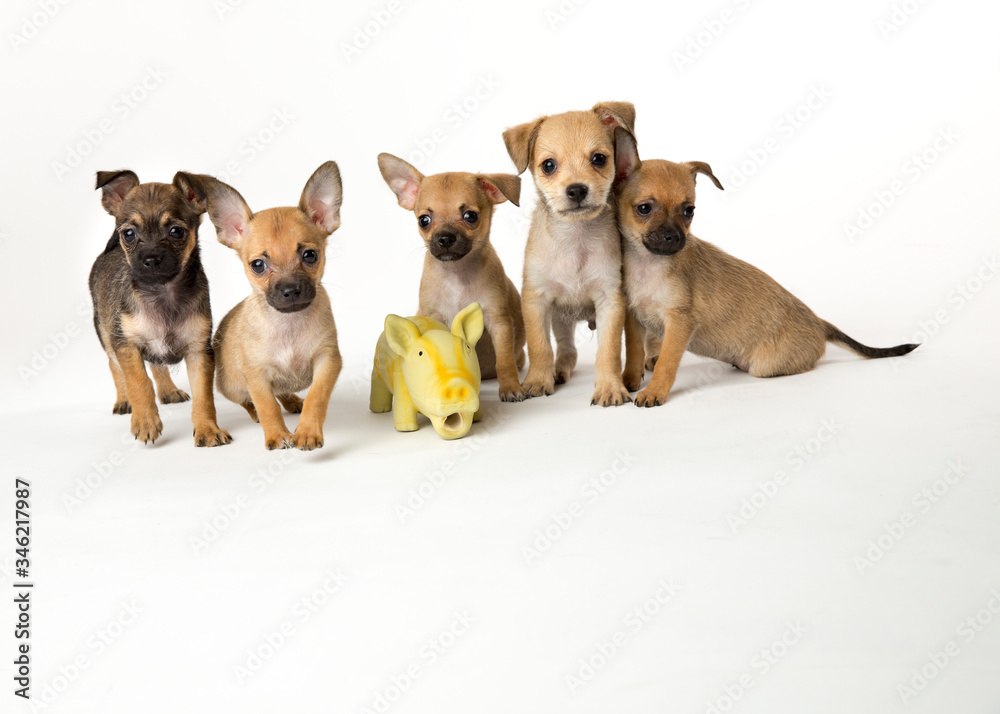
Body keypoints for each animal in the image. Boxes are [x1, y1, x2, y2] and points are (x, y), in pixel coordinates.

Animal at [89, 168, 231, 444]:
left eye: (176, 232)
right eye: (129, 234)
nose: (151, 258)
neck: (163, 293)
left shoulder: (199, 351)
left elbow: (204, 395)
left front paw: (207, 429)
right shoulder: (127, 346)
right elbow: (138, 382)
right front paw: (145, 422)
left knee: (157, 363)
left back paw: (168, 391)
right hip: (106, 334)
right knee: (115, 367)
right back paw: (124, 401)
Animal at [189, 164, 346, 448]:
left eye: (310, 255)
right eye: (258, 265)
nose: (290, 290)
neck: (289, 324)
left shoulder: (328, 361)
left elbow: (317, 396)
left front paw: (307, 431)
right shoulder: (257, 375)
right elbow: (266, 405)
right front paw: (277, 434)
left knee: (282, 392)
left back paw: (293, 401)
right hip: (231, 386)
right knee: (249, 401)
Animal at [376, 153, 532, 400]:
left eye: (470, 216)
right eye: (424, 220)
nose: (445, 238)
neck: (457, 275)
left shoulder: (499, 323)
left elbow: (504, 361)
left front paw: (511, 387)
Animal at [504, 100, 636, 406]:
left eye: (599, 158)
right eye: (548, 165)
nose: (576, 190)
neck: (576, 240)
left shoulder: (611, 301)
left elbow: (609, 351)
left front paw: (610, 387)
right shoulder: (536, 301)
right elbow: (540, 346)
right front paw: (537, 380)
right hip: (560, 319)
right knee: (567, 350)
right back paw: (558, 372)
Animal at [612, 129, 924, 406]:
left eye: (689, 211)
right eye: (644, 209)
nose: (675, 238)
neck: (648, 264)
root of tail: (819, 322)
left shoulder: (679, 323)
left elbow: (666, 362)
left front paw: (655, 391)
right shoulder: (635, 319)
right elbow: (635, 352)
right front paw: (629, 380)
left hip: (765, 367)